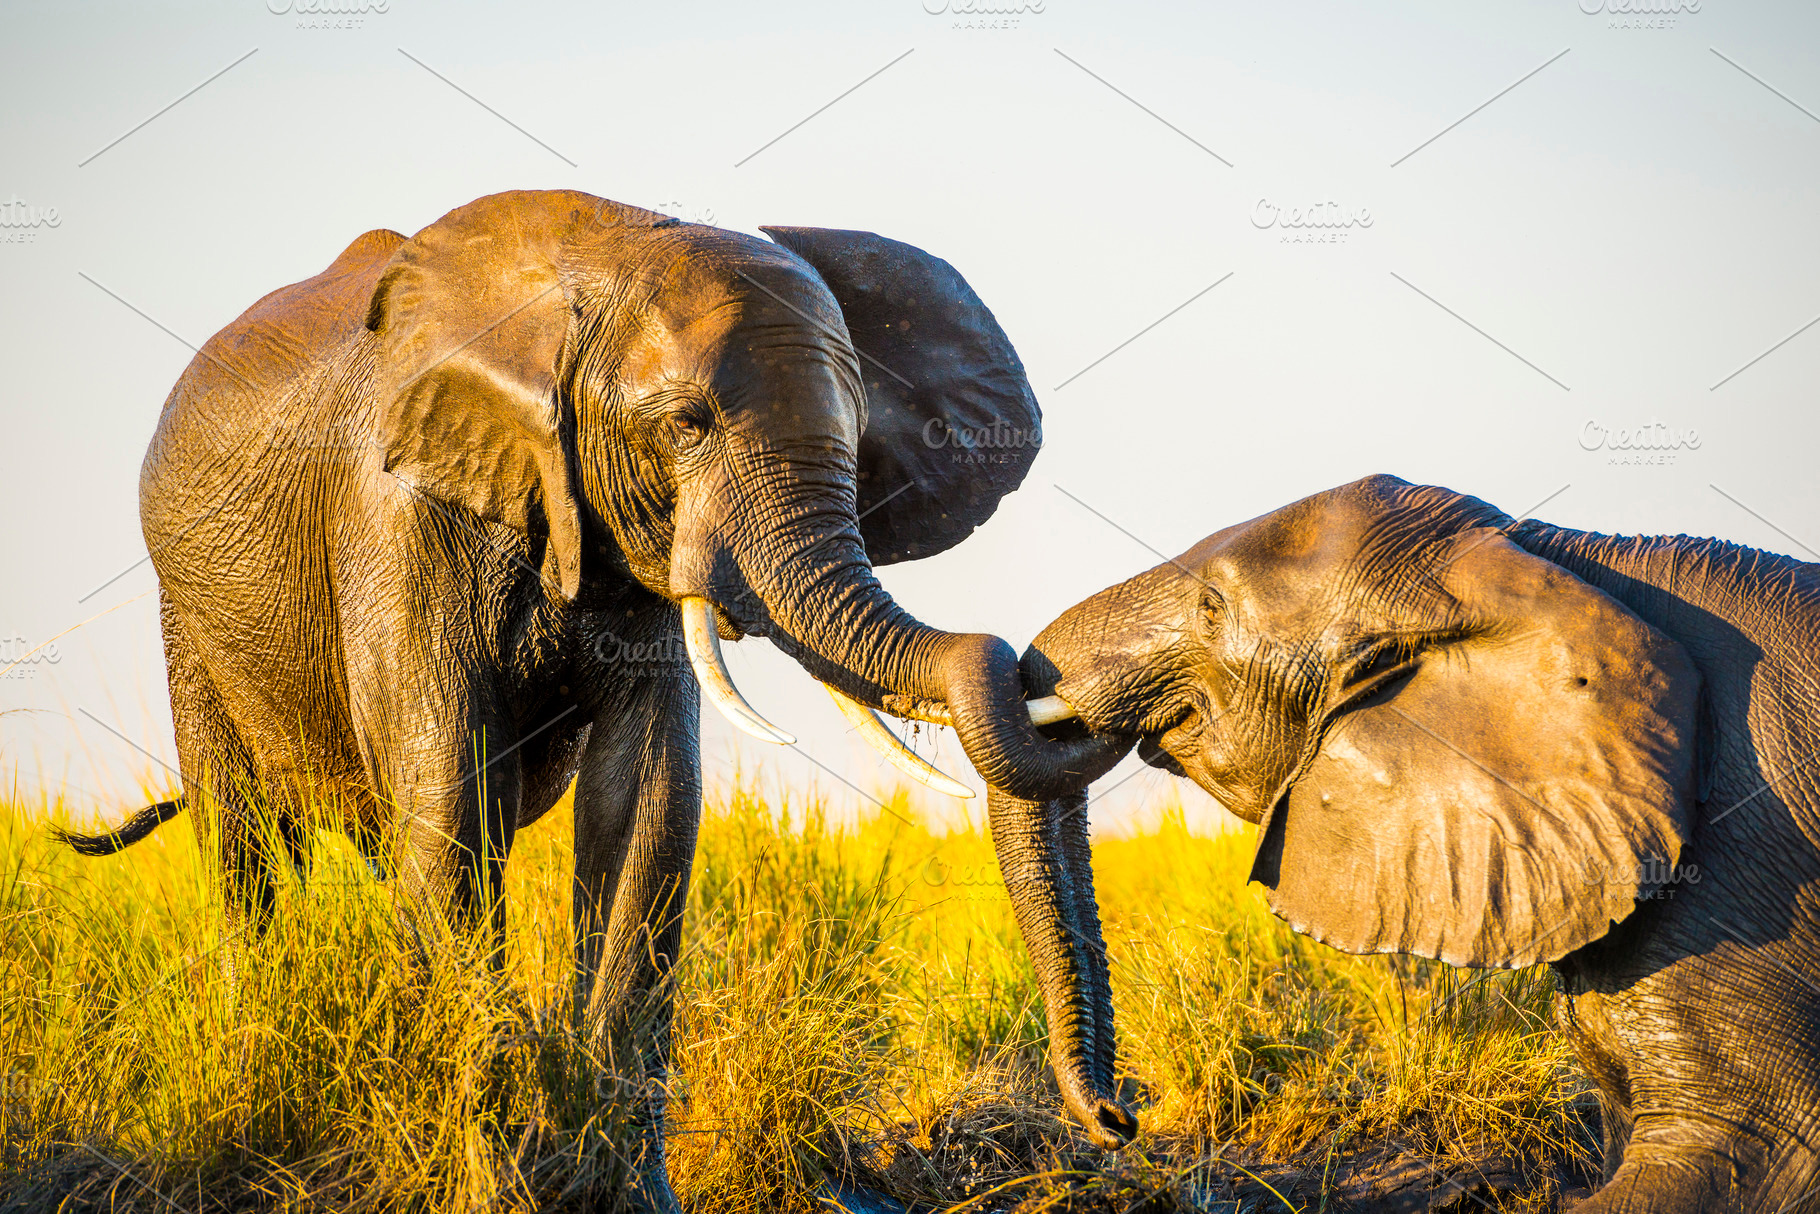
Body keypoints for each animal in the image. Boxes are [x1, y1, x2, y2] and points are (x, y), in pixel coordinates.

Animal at [53, 190, 1117, 1209]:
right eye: (686, 424)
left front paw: (627, 1193)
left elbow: (645, 805)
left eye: (859, 444)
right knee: (245, 848)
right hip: (189, 620)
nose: (1115, 1118)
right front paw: (484, 1185)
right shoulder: (400, 519)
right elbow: (450, 802)